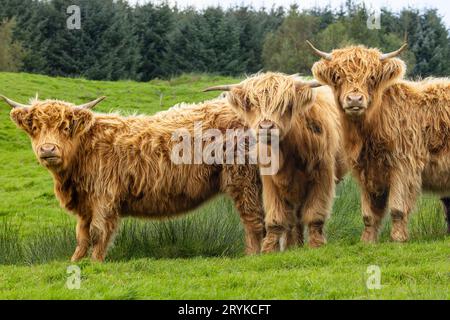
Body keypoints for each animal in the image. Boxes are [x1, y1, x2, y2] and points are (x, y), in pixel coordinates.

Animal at [310, 42, 450, 242]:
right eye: (338, 76)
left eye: (372, 77)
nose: (354, 99)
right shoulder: (368, 170)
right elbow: (369, 214)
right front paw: (367, 240)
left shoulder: (404, 166)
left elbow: (397, 208)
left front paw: (398, 238)